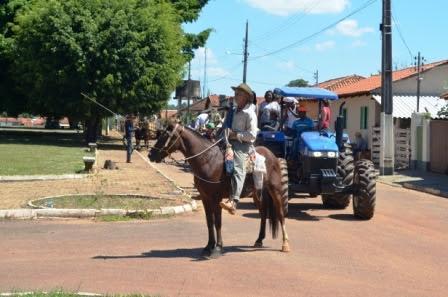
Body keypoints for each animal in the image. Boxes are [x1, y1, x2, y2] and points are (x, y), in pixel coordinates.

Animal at [150, 122, 290, 256]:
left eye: (166, 135)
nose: (151, 154)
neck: (208, 161)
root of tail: (273, 156)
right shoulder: (205, 198)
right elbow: (209, 222)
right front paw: (208, 246)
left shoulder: (216, 198)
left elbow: (217, 222)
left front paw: (217, 248)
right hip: (257, 193)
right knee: (263, 214)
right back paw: (259, 240)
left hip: (275, 190)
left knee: (280, 213)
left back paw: (285, 244)